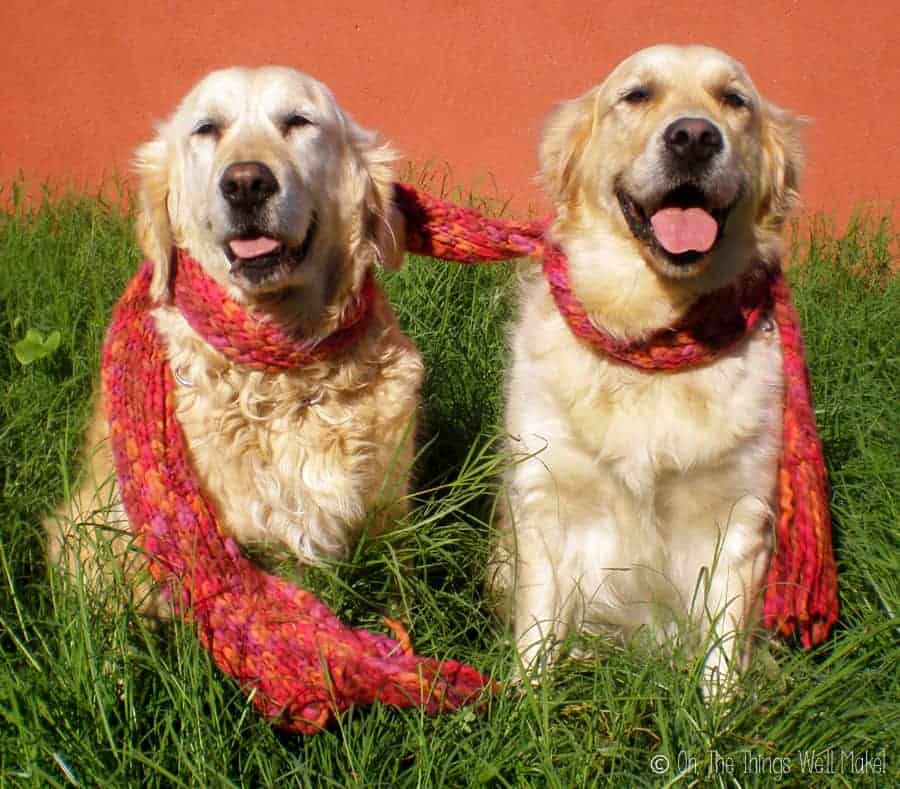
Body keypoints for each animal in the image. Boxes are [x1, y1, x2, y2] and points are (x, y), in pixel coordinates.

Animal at [488, 46, 804, 692]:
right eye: (636, 95)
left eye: (735, 100)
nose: (694, 137)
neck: (651, 340)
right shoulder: (547, 496)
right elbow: (536, 633)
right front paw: (524, 701)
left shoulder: (739, 514)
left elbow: (722, 651)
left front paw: (718, 712)